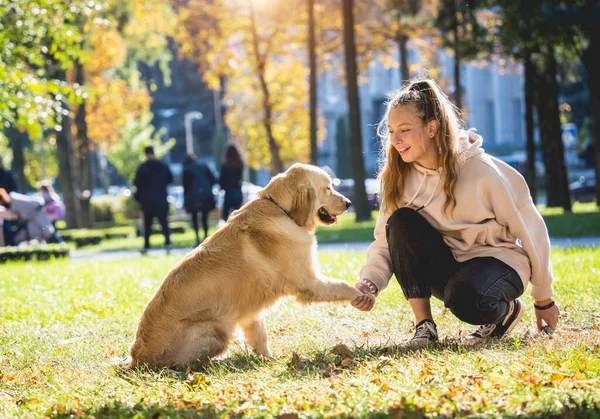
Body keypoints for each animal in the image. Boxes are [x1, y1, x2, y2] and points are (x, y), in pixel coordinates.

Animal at [129, 163, 368, 368]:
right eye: (328, 188)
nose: (349, 203)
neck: (282, 210)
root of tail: (137, 357)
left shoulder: (252, 307)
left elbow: (259, 335)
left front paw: (268, 360)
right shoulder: (309, 283)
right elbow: (343, 286)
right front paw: (362, 295)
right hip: (216, 330)